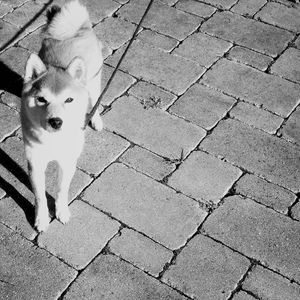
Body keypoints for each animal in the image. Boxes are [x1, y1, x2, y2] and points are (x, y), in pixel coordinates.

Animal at [21, 0, 103, 232]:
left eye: (68, 100)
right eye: (41, 99)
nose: (56, 121)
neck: (53, 141)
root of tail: (76, 30)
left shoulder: (67, 161)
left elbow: (61, 190)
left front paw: (61, 212)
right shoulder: (35, 163)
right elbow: (40, 196)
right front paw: (41, 219)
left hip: (93, 82)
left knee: (95, 99)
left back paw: (96, 119)